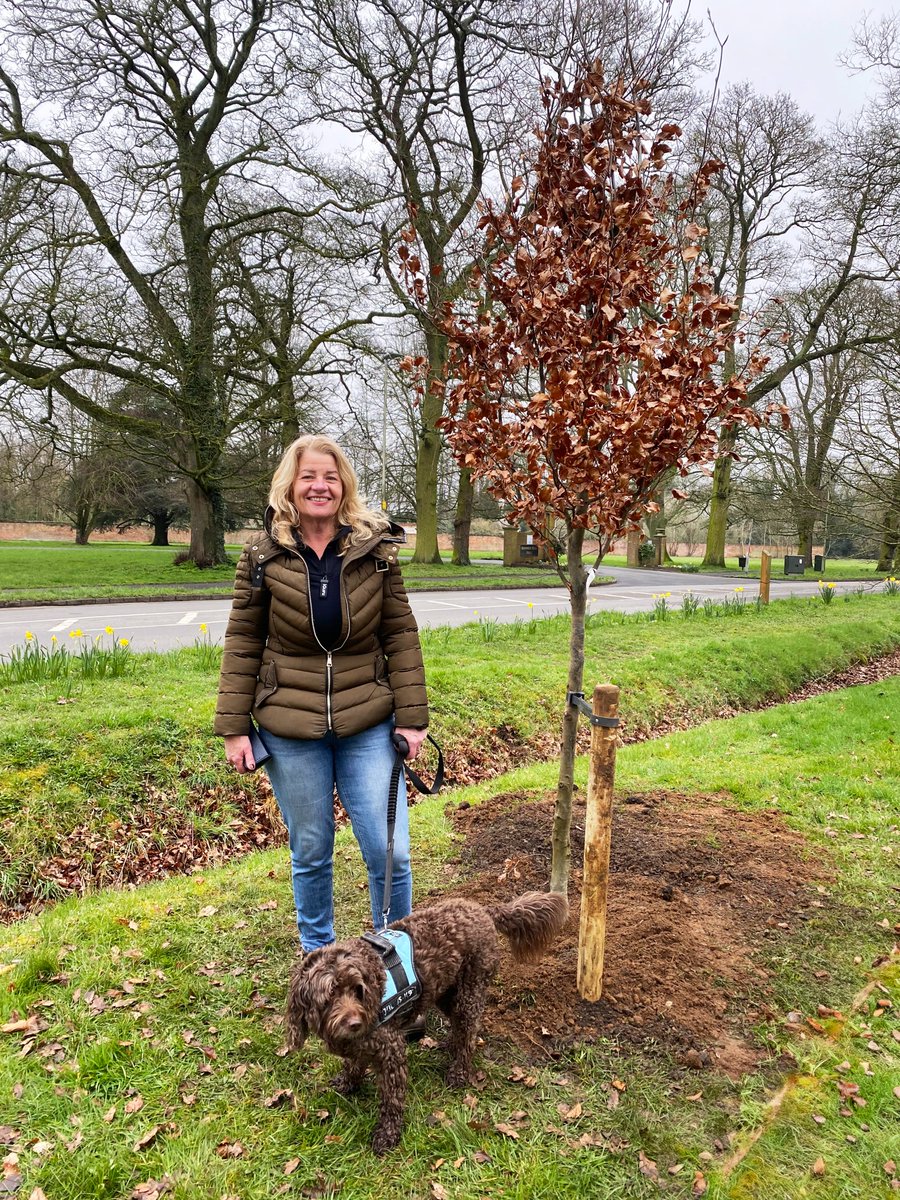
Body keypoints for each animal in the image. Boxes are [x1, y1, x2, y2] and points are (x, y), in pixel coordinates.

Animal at [285, 892, 566, 1152]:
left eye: (357, 990)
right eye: (330, 995)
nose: (355, 1023)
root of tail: (483, 909)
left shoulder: (391, 1051)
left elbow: (392, 1099)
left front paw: (387, 1134)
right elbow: (353, 1064)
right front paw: (347, 1083)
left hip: (470, 988)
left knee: (469, 1032)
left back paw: (458, 1071)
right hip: (445, 990)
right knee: (458, 1024)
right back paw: (451, 1045)